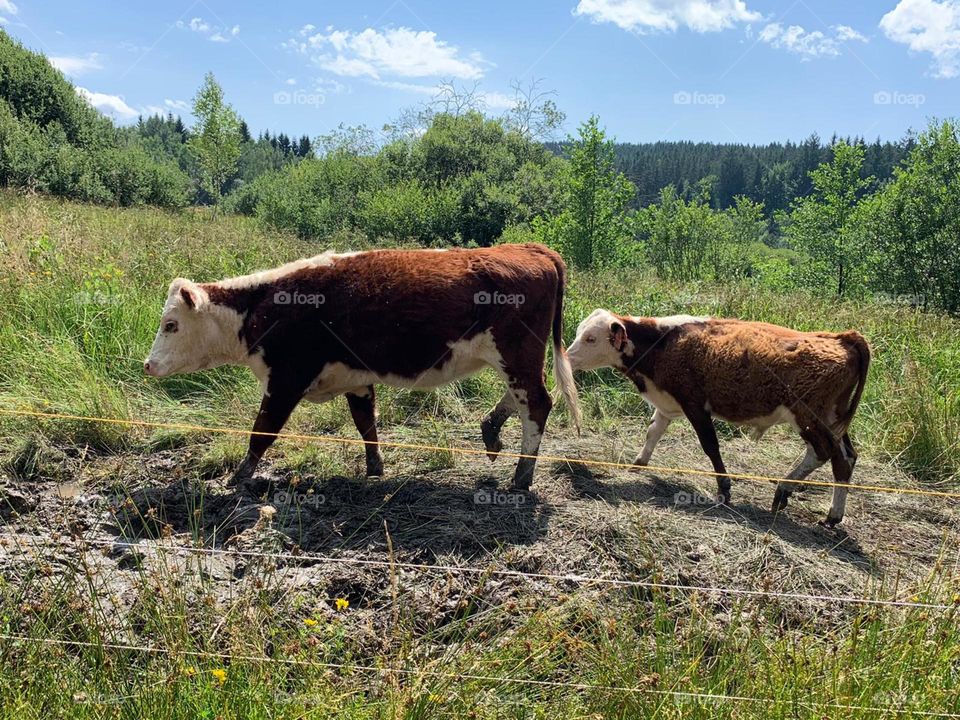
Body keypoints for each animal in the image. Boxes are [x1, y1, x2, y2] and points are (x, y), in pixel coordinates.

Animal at [144, 244, 581, 491]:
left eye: (171, 324)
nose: (148, 365)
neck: (264, 304)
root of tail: (532, 249)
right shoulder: (354, 379)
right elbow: (365, 424)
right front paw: (374, 469)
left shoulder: (286, 379)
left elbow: (261, 431)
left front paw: (239, 476)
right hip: (517, 358)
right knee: (521, 399)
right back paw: (491, 431)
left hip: (517, 353)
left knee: (536, 403)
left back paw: (521, 477)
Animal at [566, 310, 870, 526]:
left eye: (591, 338)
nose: (566, 357)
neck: (664, 343)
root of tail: (841, 337)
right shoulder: (667, 403)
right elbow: (653, 431)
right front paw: (638, 463)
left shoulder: (695, 405)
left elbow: (711, 446)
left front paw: (724, 488)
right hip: (832, 419)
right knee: (846, 458)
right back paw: (832, 514)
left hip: (808, 416)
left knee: (824, 453)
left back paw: (789, 491)